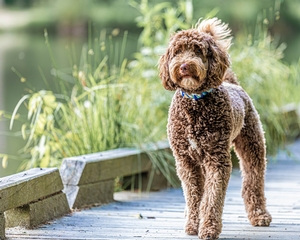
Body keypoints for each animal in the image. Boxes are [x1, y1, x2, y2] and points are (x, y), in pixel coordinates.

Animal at [159, 17, 272, 239]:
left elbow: (212, 197)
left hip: (253, 147)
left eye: (197, 50)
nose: (184, 66)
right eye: (177, 51)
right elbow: (194, 195)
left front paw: (209, 228)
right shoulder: (186, 161)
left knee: (253, 183)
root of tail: (232, 83)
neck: (195, 101)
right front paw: (193, 224)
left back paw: (260, 215)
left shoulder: (217, 160)